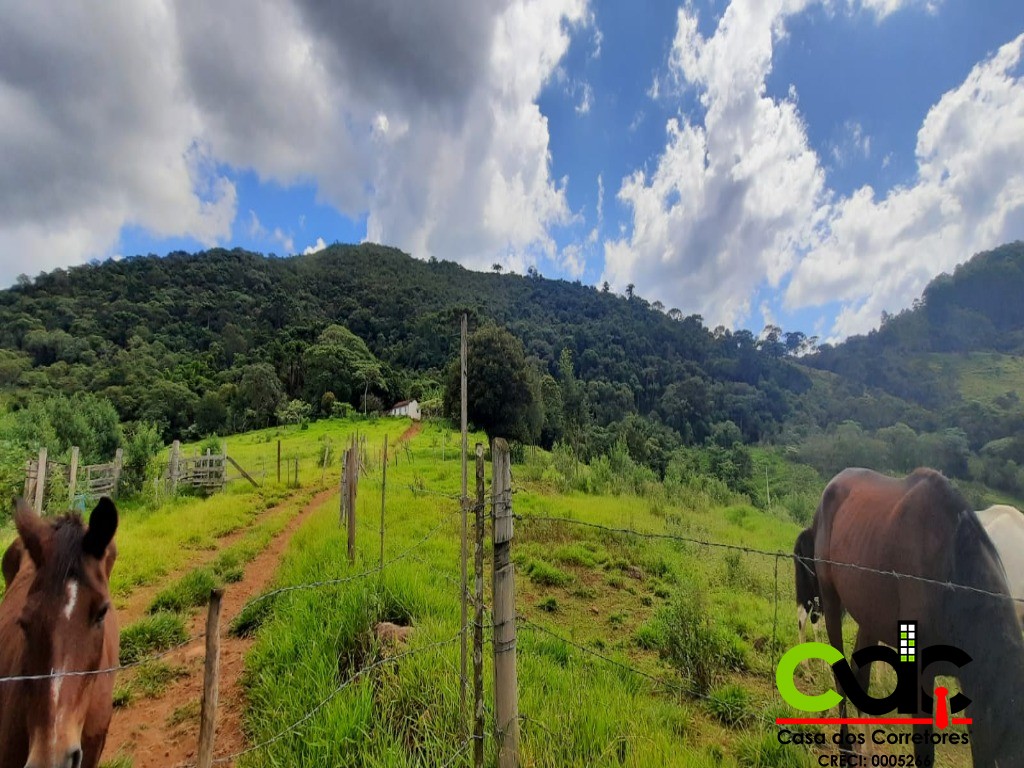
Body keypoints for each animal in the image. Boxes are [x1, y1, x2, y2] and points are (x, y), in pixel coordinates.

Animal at [806, 466, 1024, 768]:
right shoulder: (922, 671)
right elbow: (924, 754)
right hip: (831, 600)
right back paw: (846, 751)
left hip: (868, 618)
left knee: (860, 676)